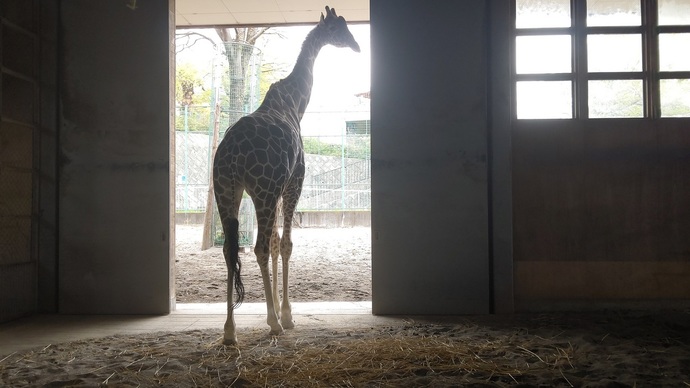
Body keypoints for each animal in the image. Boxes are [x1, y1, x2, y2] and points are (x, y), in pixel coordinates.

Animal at [211, 6, 360, 344]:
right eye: (340, 28)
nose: (357, 46)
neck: (295, 102)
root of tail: (230, 155)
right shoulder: (294, 183)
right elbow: (287, 244)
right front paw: (287, 315)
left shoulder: (278, 190)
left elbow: (278, 243)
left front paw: (280, 309)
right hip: (262, 192)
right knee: (259, 248)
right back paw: (273, 324)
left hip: (226, 191)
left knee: (230, 250)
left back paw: (229, 330)